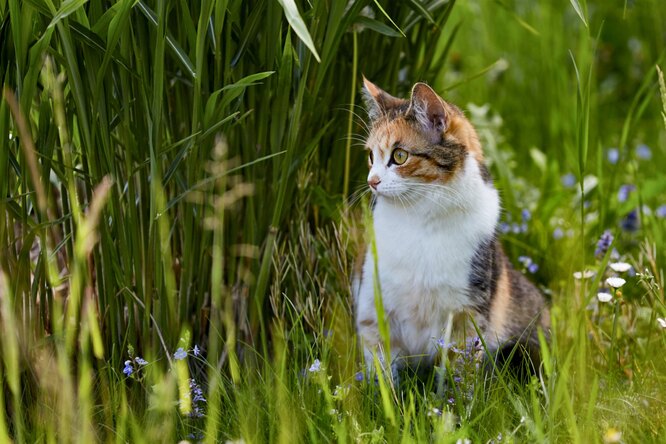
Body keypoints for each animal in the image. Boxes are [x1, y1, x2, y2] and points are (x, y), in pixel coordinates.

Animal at [350, 77, 548, 378]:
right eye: (371, 156)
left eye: (399, 156)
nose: (371, 182)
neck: (418, 220)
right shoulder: (373, 308)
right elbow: (381, 371)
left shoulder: (467, 312)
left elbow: (459, 372)